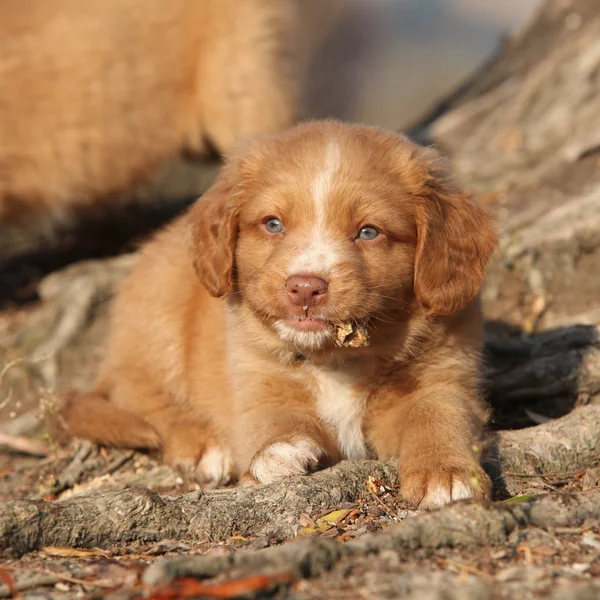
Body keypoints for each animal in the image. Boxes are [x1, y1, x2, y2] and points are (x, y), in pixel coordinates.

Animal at [61, 119, 500, 508]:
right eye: (273, 224)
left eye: (369, 232)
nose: (305, 287)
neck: (335, 358)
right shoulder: (257, 382)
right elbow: (271, 421)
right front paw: (277, 454)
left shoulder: (443, 375)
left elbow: (436, 414)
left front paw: (444, 473)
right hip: (158, 316)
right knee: (141, 398)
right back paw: (202, 443)